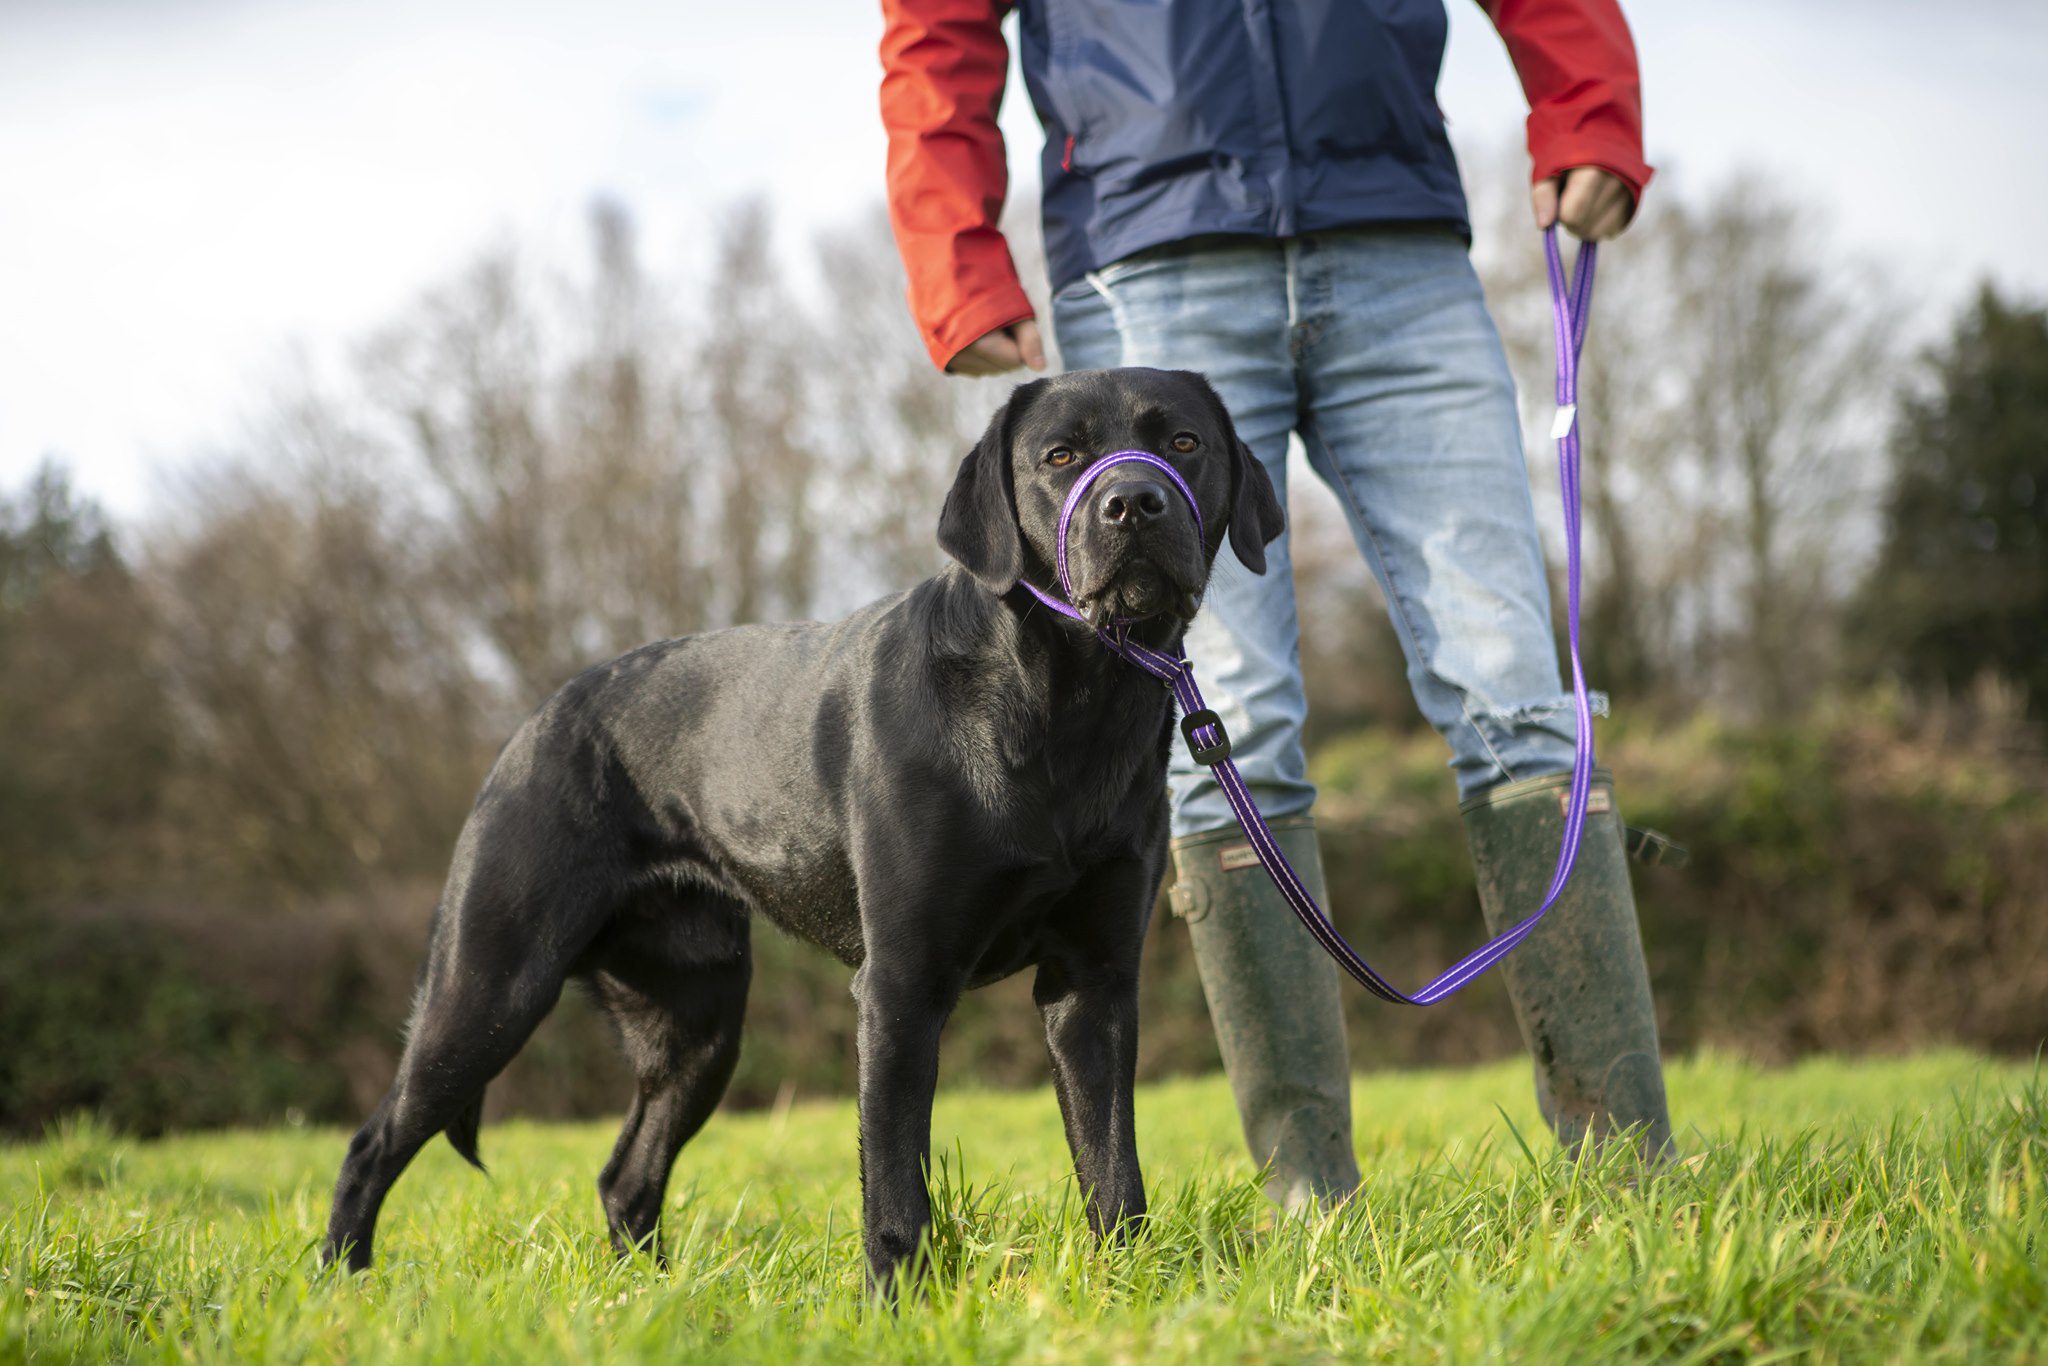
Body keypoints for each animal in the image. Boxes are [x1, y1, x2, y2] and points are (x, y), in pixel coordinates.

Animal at [317, 366, 1277, 1294]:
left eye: (1183, 443)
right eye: (1059, 455)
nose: (1133, 503)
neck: (1067, 705)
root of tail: (532, 724)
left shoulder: (1095, 980)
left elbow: (1113, 1170)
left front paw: (1130, 1290)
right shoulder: (898, 985)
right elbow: (893, 1185)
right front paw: (897, 1308)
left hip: (698, 1026)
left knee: (625, 1176)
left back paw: (649, 1299)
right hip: (488, 986)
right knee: (372, 1145)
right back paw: (344, 1286)